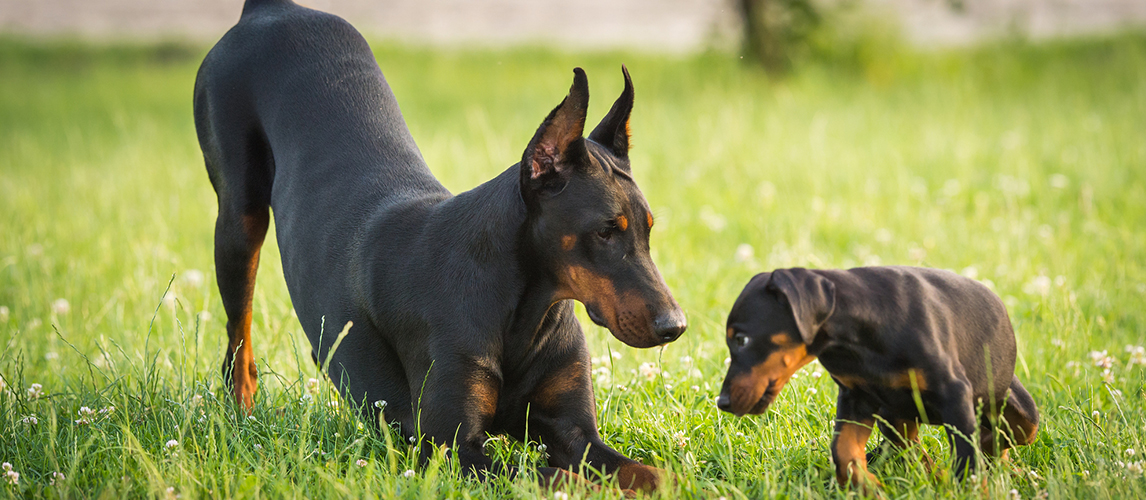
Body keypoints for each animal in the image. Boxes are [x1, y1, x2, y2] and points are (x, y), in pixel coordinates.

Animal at [192, 0, 683, 493]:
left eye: (648, 229)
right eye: (605, 231)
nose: (675, 326)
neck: (523, 309)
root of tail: (271, 9)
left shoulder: (573, 430)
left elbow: (653, 473)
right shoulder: (452, 450)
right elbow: (561, 477)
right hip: (238, 219)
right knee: (238, 338)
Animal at [715, 269, 1040, 493]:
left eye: (742, 339)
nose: (722, 402)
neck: (857, 338)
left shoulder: (954, 394)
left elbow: (967, 459)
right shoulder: (855, 397)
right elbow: (843, 451)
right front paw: (869, 487)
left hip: (1017, 407)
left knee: (1005, 434)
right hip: (894, 416)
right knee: (913, 449)